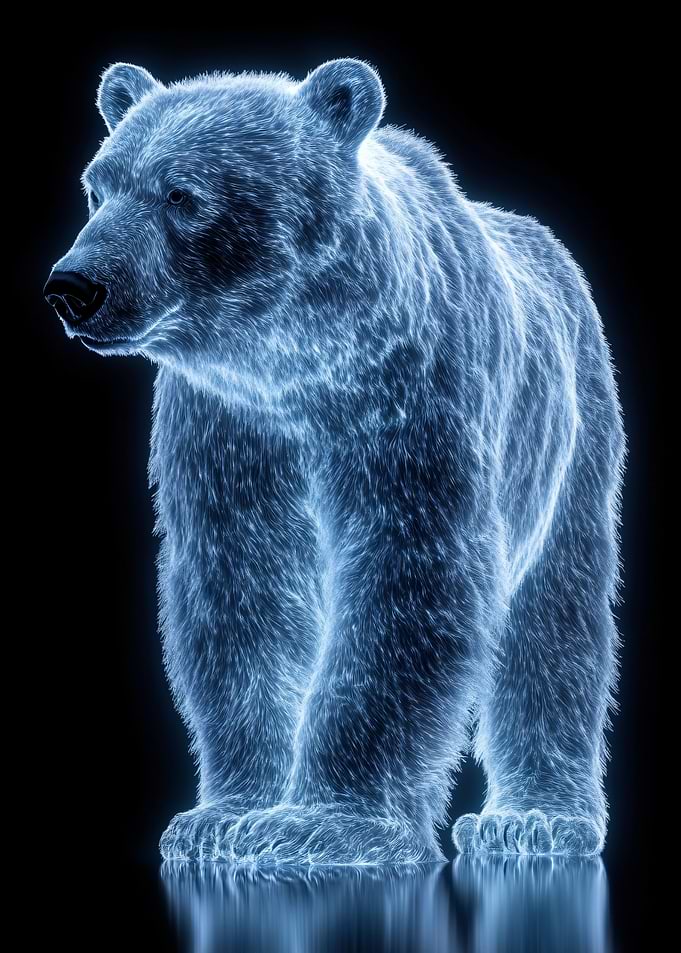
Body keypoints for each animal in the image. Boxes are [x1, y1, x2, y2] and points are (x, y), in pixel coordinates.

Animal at [44, 58, 626, 865]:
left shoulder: (409, 397)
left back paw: (534, 819)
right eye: (97, 187)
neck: (300, 354)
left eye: (181, 194)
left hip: (572, 433)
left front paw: (323, 821)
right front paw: (224, 816)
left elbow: (409, 574)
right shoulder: (229, 426)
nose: (74, 286)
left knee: (556, 616)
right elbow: (242, 590)